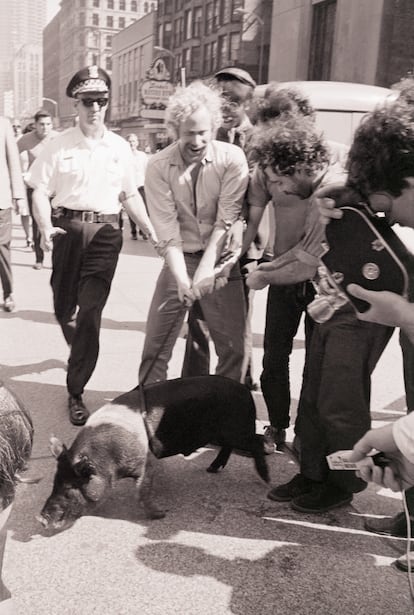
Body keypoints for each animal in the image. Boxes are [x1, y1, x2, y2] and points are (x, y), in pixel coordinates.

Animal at [39, 372, 268, 532]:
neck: (108, 461)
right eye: (54, 484)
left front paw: (161, 515)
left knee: (259, 442)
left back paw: (266, 478)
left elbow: (142, 492)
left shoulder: (146, 462)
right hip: (224, 434)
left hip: (238, 430)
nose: (39, 518)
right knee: (231, 447)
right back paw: (212, 469)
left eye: (69, 488)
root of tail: (245, 389)